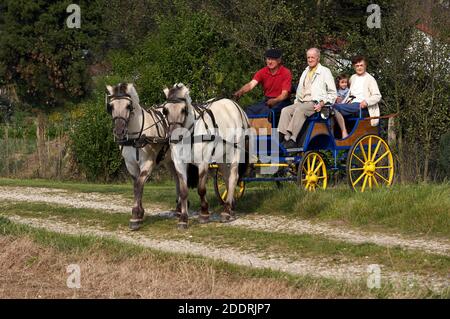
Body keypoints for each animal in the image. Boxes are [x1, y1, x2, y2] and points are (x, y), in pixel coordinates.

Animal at [105, 84, 181, 231]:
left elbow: (139, 185)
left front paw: (135, 216)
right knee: (176, 178)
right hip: (169, 161)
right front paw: (140, 214)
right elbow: (136, 185)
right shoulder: (130, 164)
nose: (119, 131)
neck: (136, 136)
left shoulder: (147, 163)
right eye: (110, 106)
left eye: (128, 106)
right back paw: (179, 208)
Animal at [161, 82, 248, 228]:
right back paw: (230, 207)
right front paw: (183, 219)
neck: (190, 134)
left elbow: (201, 189)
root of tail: (234, 105)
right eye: (165, 111)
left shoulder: (202, 162)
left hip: (235, 151)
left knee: (233, 177)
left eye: (184, 109)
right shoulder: (179, 163)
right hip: (221, 156)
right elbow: (183, 191)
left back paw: (226, 211)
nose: (174, 138)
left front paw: (204, 214)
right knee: (227, 177)